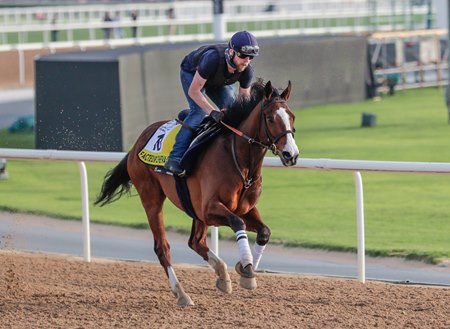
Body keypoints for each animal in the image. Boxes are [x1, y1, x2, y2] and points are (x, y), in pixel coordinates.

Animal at [95, 79, 298, 304]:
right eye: (270, 118)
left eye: (292, 117)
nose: (291, 154)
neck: (241, 161)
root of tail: (137, 143)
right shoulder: (210, 209)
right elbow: (238, 223)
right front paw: (246, 268)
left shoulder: (244, 208)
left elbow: (264, 231)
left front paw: (245, 269)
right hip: (152, 198)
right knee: (162, 247)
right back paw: (181, 294)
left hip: (193, 207)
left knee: (195, 241)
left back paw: (222, 275)